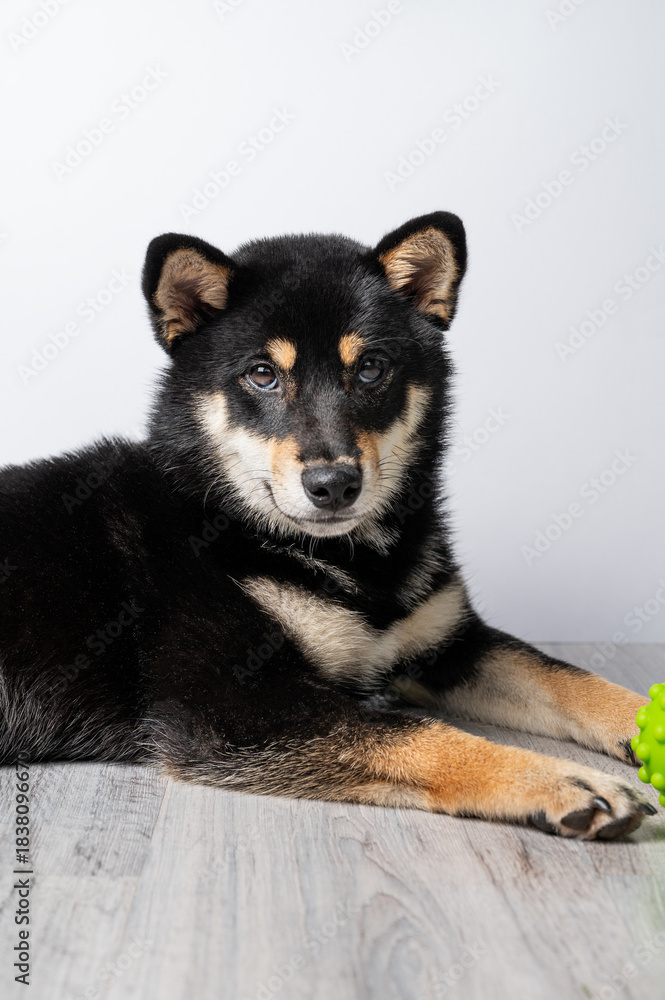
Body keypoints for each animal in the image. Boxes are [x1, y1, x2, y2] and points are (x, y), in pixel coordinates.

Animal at [0, 212, 656, 840]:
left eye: (369, 368)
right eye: (262, 373)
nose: (334, 484)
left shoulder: (449, 642)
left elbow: (566, 677)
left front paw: (641, 719)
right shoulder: (228, 707)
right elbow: (422, 734)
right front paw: (562, 781)